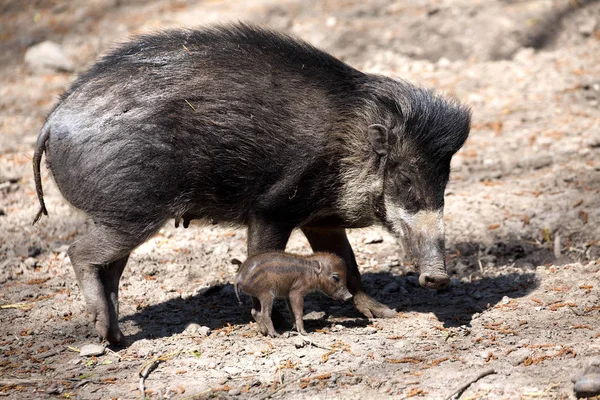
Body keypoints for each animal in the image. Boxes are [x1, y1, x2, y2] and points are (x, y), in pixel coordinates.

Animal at [32, 23, 472, 346]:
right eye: (404, 178)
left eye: (444, 181)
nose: (438, 278)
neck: (349, 146)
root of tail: (53, 120)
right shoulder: (271, 208)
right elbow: (265, 258)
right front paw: (276, 325)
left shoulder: (322, 218)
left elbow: (350, 265)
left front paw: (385, 314)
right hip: (134, 211)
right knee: (80, 252)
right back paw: (106, 332)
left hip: (116, 214)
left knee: (109, 269)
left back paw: (116, 339)